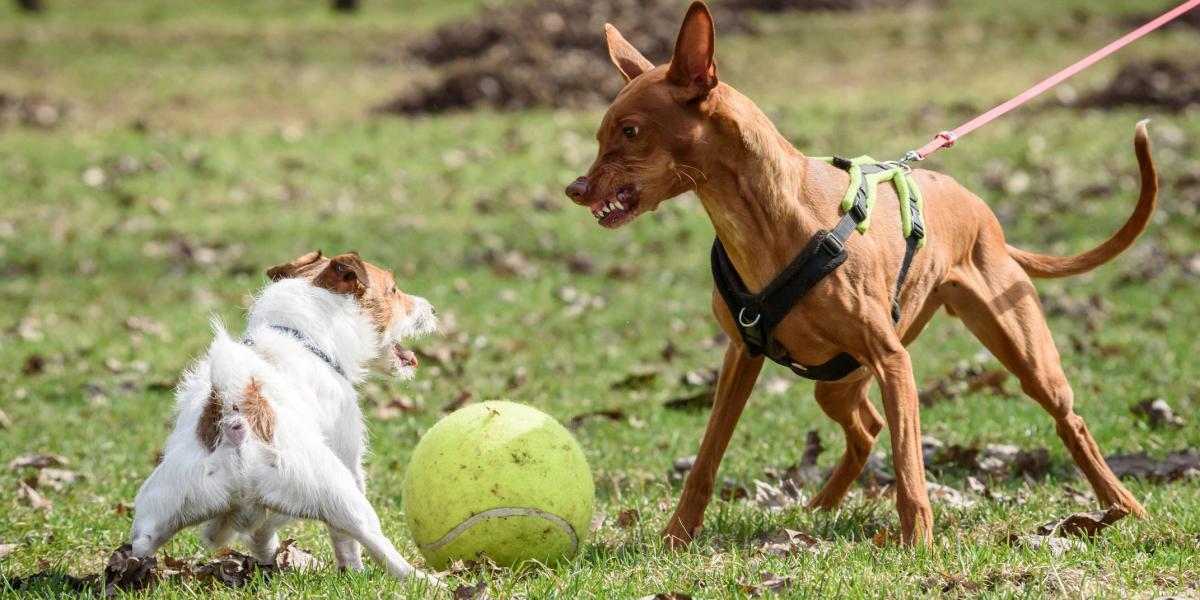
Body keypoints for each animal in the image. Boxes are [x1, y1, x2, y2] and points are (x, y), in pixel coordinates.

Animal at [129, 250, 439, 583]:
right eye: (393, 289)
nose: (433, 308)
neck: (303, 338)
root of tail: (238, 422)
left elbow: (262, 532)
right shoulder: (349, 456)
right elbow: (345, 542)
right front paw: (353, 572)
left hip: (161, 506)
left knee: (144, 544)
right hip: (341, 495)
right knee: (378, 546)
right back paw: (426, 581)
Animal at [566, 1, 1156, 549]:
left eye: (630, 131)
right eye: (600, 135)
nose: (575, 189)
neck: (767, 220)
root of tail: (986, 215)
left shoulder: (894, 362)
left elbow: (910, 470)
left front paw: (917, 546)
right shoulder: (742, 355)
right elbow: (706, 461)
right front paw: (676, 536)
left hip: (1023, 355)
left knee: (1069, 422)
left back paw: (1124, 507)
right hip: (837, 382)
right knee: (866, 429)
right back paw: (819, 508)